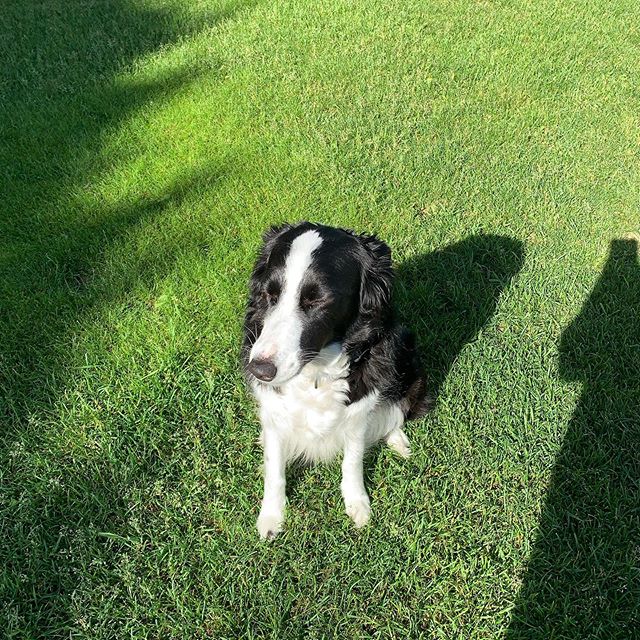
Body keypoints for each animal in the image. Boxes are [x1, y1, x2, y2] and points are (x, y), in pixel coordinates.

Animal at [242, 222, 432, 536]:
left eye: (317, 299)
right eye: (270, 295)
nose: (260, 370)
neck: (316, 370)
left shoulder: (359, 407)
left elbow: (352, 460)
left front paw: (357, 505)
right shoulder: (274, 408)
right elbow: (274, 466)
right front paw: (272, 515)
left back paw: (397, 439)